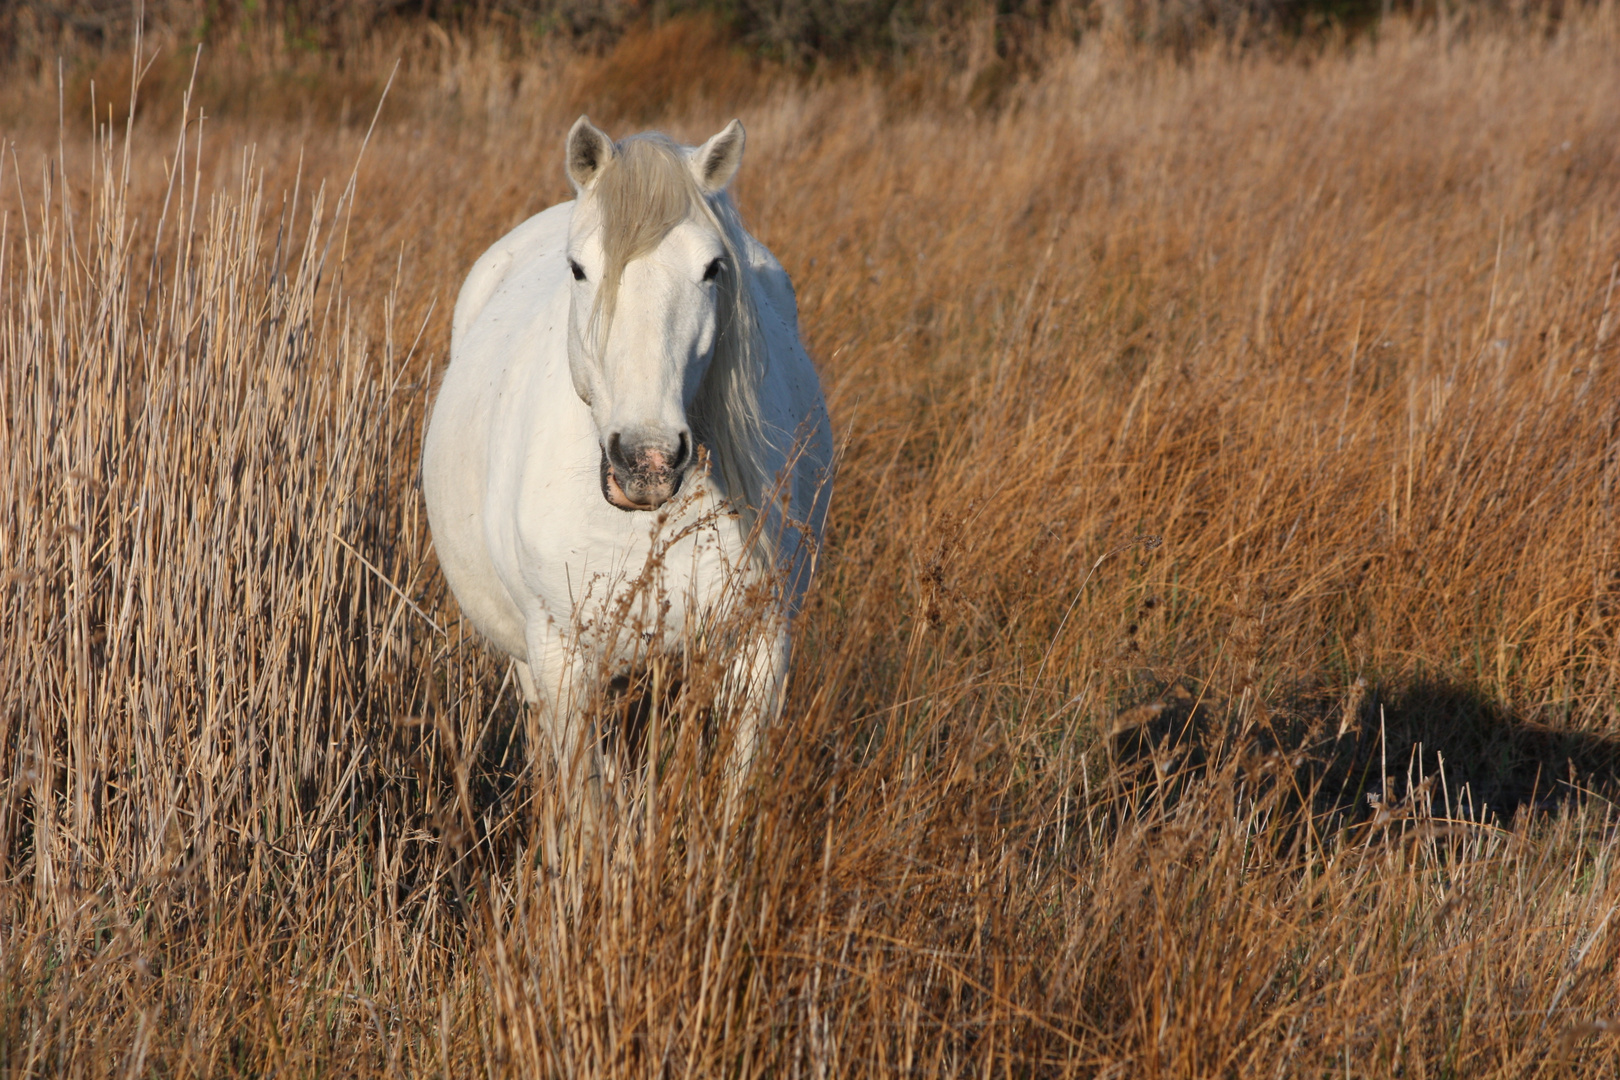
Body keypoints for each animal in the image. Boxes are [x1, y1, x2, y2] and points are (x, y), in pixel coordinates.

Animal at [417, 116, 835, 829]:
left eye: (713, 268)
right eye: (579, 269)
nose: (647, 460)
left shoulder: (760, 649)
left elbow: (732, 802)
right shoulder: (561, 661)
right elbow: (590, 811)